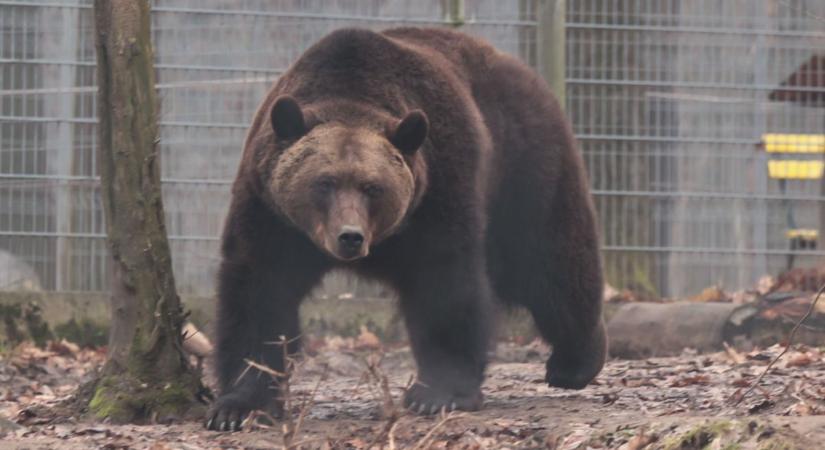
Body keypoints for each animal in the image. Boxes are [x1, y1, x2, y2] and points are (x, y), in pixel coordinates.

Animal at [206, 25, 604, 432]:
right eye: (324, 182)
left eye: (372, 187)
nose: (350, 236)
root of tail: (513, 64)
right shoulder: (270, 214)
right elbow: (259, 293)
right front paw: (238, 407)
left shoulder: (438, 191)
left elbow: (445, 285)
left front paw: (438, 393)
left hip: (523, 165)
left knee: (550, 260)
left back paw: (575, 362)